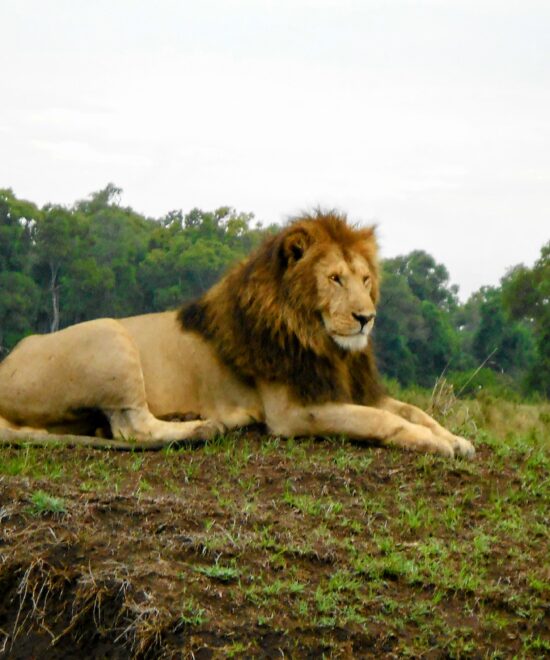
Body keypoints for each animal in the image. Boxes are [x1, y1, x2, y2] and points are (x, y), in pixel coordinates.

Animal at [0, 211, 474, 458]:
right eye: (335, 279)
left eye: (365, 279)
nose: (366, 317)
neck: (323, 343)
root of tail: (8, 361)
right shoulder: (292, 411)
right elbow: (380, 419)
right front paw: (432, 443)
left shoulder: (345, 386)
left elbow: (412, 409)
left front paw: (455, 439)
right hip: (110, 334)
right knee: (133, 429)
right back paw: (203, 427)